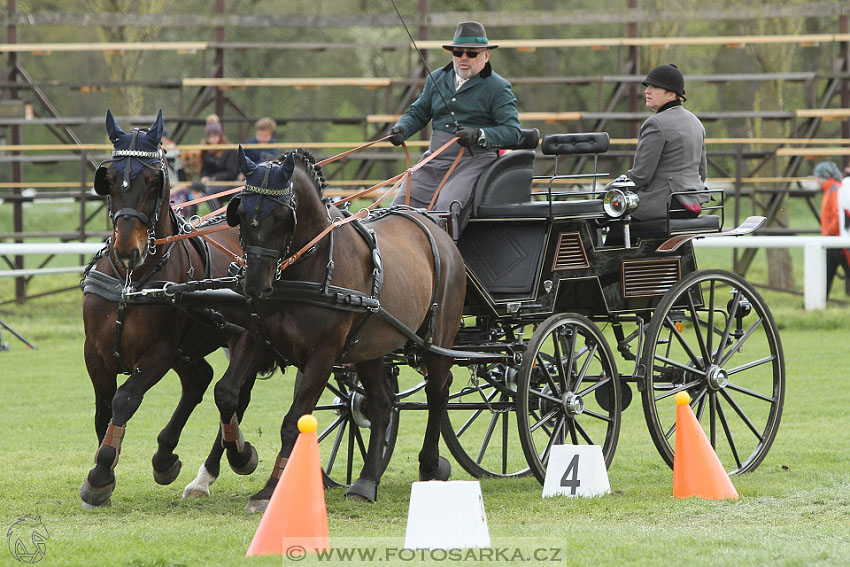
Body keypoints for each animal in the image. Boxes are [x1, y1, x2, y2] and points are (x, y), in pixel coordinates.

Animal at [81, 110, 256, 506]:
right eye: (109, 178)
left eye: (152, 180)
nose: (127, 249)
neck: (132, 279)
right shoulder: (95, 352)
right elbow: (102, 409)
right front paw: (104, 470)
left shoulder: (158, 352)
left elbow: (125, 399)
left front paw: (100, 475)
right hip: (189, 347)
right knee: (201, 381)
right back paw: (168, 457)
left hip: (244, 339)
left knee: (232, 394)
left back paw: (229, 459)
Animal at [212, 148, 464, 510]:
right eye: (242, 213)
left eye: (283, 217)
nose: (255, 285)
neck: (307, 270)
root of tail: (437, 229)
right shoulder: (257, 337)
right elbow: (227, 393)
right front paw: (241, 454)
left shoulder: (323, 355)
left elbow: (294, 421)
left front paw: (272, 488)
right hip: (370, 347)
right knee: (382, 405)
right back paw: (366, 482)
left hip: (438, 341)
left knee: (438, 393)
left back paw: (429, 464)